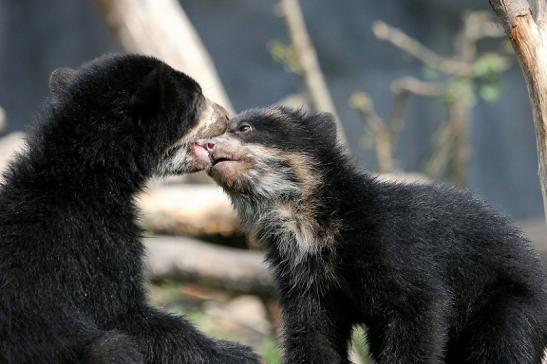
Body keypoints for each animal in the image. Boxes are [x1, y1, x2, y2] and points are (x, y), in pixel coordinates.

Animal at [0, 54, 260, 364]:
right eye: (197, 96)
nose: (226, 117)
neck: (86, 174)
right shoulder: (95, 242)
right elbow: (123, 312)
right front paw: (236, 352)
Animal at [199, 106, 547, 364]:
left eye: (244, 128)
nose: (205, 146)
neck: (307, 223)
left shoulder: (390, 244)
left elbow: (419, 310)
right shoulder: (302, 277)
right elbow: (313, 334)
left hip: (509, 302)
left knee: (503, 346)